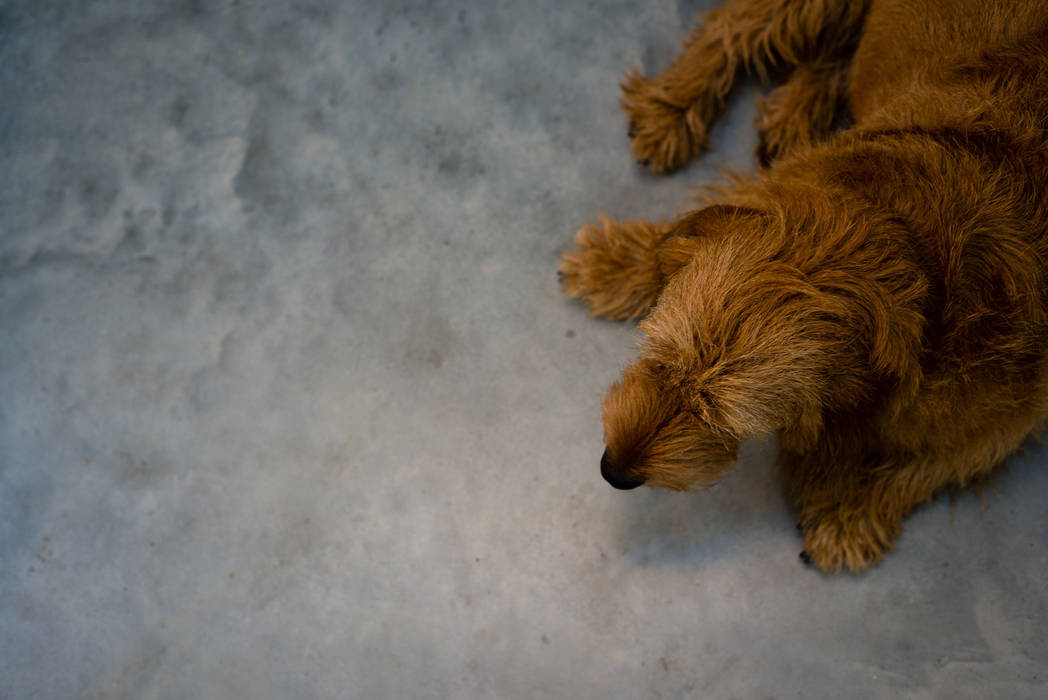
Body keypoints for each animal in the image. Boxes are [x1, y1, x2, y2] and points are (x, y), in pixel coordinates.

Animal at [561, 0, 1048, 570]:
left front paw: (851, 514)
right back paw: (674, 108)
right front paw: (614, 263)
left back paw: (795, 110)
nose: (612, 470)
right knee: (731, 27)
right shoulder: (778, 195)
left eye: (721, 420)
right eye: (658, 362)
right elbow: (675, 235)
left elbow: (928, 467)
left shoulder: (1008, 418)